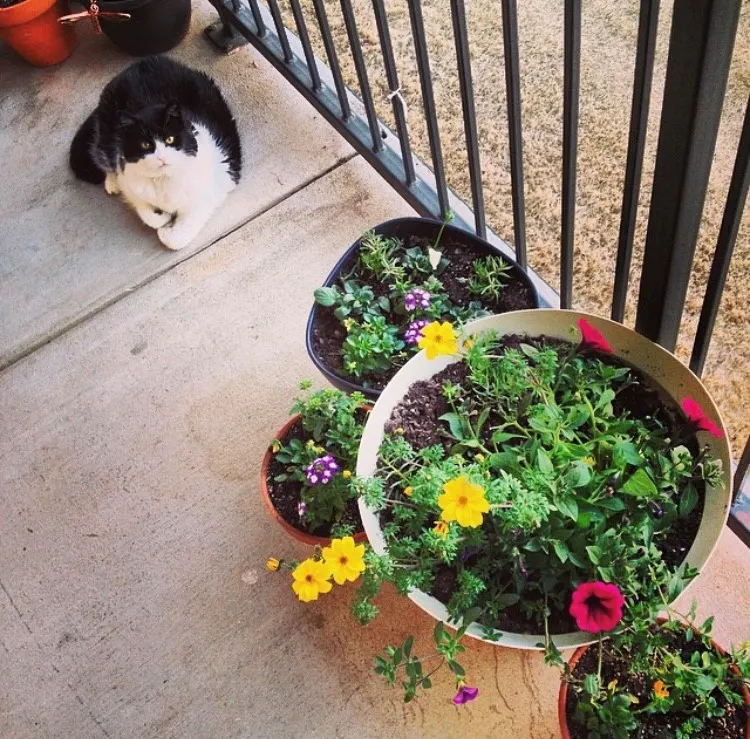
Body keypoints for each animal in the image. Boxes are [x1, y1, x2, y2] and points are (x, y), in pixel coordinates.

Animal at [69, 55, 242, 251]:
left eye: (170, 139)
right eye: (145, 145)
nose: (161, 158)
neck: (163, 181)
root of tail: (141, 62)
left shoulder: (212, 191)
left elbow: (177, 239)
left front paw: (166, 231)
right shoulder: (131, 184)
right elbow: (147, 213)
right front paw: (163, 219)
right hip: (107, 133)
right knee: (104, 156)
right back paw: (112, 183)